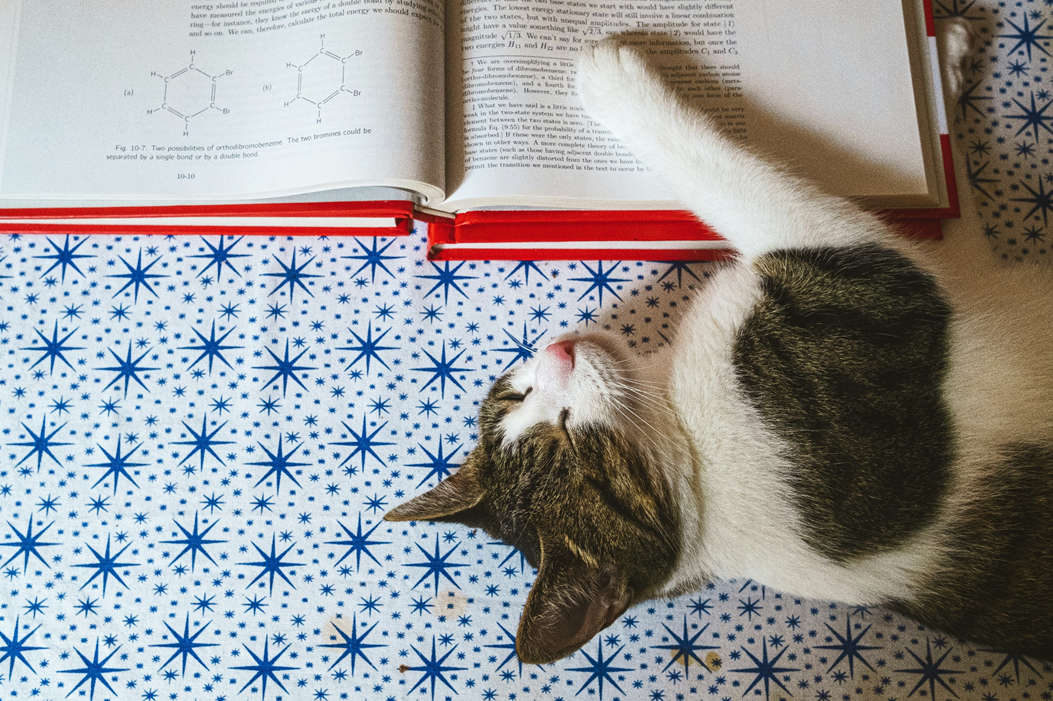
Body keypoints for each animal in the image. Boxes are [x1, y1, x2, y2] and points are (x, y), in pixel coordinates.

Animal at [387, 25, 1053, 661]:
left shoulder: (957, 280)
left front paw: (946, 59)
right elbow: (739, 181)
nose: (555, 354)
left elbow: (959, 219)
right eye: (572, 437)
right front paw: (614, 80)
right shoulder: (864, 294)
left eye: (519, 398)